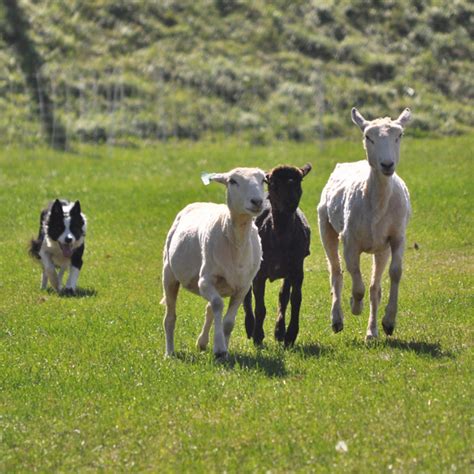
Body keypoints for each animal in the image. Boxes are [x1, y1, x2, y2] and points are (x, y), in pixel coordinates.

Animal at [162, 167, 266, 356]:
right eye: (232, 181)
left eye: (264, 180)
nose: (257, 201)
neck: (237, 241)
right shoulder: (205, 280)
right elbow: (218, 304)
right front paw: (219, 348)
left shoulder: (243, 287)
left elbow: (228, 322)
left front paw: (224, 350)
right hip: (169, 273)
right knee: (170, 317)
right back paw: (169, 353)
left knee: (209, 308)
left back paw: (202, 343)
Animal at [244, 164, 312, 348]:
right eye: (273, 183)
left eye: (299, 181)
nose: (291, 202)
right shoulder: (259, 273)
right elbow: (260, 307)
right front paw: (257, 336)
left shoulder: (296, 269)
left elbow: (295, 300)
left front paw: (290, 336)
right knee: (246, 294)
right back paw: (249, 327)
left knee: (283, 296)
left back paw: (279, 332)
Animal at [318, 108, 412, 340]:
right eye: (368, 137)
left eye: (399, 135)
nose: (387, 165)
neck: (378, 202)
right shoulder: (350, 241)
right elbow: (355, 281)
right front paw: (354, 305)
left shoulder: (397, 236)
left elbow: (394, 273)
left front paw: (389, 322)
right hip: (325, 226)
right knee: (336, 272)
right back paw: (337, 319)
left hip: (381, 248)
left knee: (374, 287)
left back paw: (372, 332)